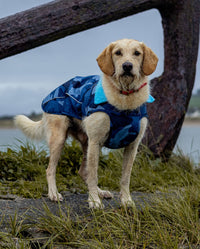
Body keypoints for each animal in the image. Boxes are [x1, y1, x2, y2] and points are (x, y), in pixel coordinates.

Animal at [14, 38, 158, 208]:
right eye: (118, 53)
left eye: (137, 53)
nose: (127, 66)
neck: (124, 98)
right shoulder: (95, 142)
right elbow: (93, 175)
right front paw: (94, 201)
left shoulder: (132, 146)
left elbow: (125, 177)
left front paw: (126, 200)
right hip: (59, 139)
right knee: (51, 170)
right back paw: (54, 194)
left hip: (86, 142)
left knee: (83, 171)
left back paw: (101, 192)